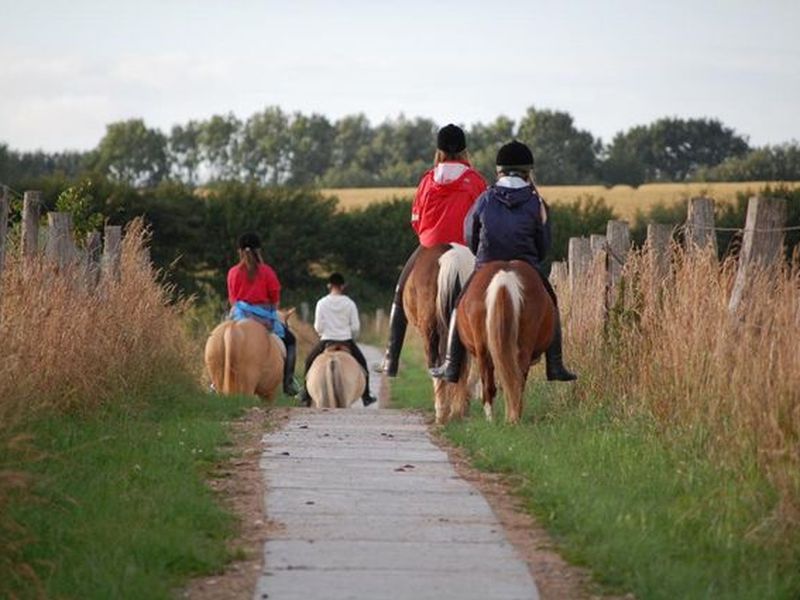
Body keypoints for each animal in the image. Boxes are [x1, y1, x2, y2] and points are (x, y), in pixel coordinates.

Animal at [456, 260, 556, 424]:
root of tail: (504, 277)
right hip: (522, 346)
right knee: (516, 380)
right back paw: (513, 417)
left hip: (483, 349)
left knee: (490, 384)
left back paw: (493, 418)